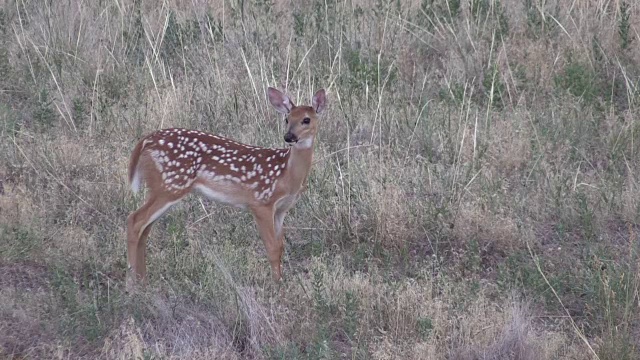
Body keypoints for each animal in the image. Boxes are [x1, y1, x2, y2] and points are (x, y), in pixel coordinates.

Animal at [125, 87, 328, 284]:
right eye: (287, 119)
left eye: (306, 119)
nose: (289, 136)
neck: (286, 175)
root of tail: (146, 141)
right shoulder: (260, 202)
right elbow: (271, 247)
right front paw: (277, 285)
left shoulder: (281, 209)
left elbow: (280, 246)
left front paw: (280, 281)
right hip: (170, 184)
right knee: (135, 220)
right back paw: (133, 284)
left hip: (163, 187)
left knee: (145, 228)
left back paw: (143, 281)